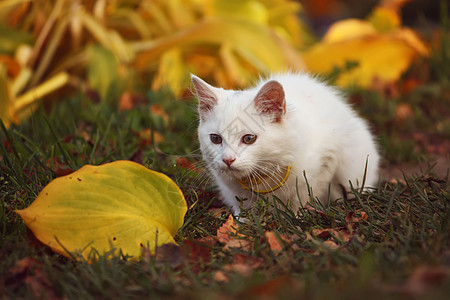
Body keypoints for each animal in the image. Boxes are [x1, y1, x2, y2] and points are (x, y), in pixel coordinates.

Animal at [192, 72, 380, 216]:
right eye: (215, 139)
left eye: (248, 139)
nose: (228, 160)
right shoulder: (232, 189)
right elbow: (242, 206)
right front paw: (241, 224)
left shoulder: (326, 161)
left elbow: (304, 197)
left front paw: (296, 218)